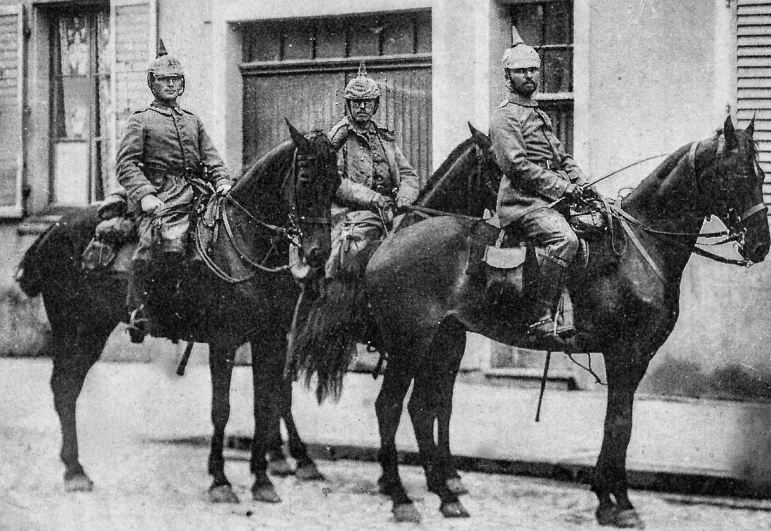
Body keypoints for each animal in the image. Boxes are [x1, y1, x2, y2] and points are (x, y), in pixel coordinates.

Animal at [14, 122, 340, 504]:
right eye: (304, 177)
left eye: (336, 180)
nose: (318, 253)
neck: (242, 243)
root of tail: (52, 228)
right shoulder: (224, 342)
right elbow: (222, 409)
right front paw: (220, 481)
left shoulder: (270, 340)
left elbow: (266, 405)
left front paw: (262, 480)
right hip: (74, 329)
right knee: (64, 388)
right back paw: (74, 472)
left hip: (91, 332)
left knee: (68, 388)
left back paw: (75, 469)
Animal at [292, 117, 768, 528]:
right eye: (736, 175)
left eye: (760, 174)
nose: (760, 244)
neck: (640, 248)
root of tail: (389, 242)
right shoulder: (624, 353)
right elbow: (619, 424)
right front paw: (617, 502)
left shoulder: (635, 358)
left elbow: (622, 424)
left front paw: (610, 498)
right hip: (409, 344)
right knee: (388, 407)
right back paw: (399, 497)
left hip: (440, 341)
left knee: (422, 407)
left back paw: (445, 496)